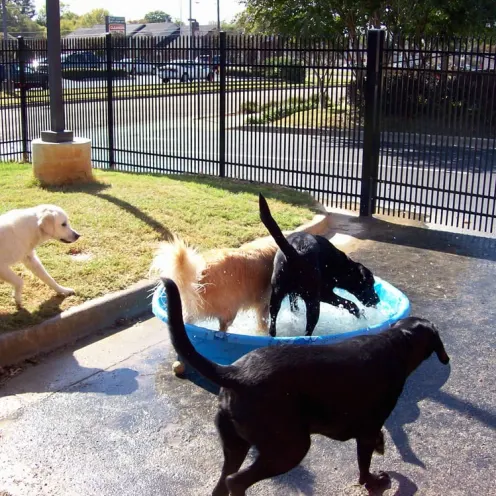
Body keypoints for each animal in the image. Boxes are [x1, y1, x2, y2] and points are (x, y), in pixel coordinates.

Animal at [162, 280, 450, 496]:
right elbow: (364, 465)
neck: (397, 341)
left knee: (223, 484)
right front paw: (373, 481)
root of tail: (234, 373)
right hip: (290, 447)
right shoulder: (367, 429)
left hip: (237, 446)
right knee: (236, 482)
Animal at [258, 194, 378, 338]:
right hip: (313, 302)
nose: (377, 300)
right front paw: (360, 314)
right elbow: (350, 303)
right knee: (308, 330)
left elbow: (294, 307)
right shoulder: (325, 294)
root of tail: (295, 252)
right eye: (370, 284)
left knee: (273, 325)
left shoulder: (293, 294)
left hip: (276, 296)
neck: (341, 265)